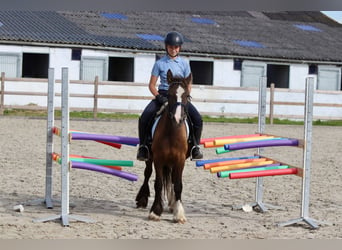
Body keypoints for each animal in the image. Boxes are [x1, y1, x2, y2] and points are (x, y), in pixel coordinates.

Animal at [135, 69, 192, 224]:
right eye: (169, 95)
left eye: (187, 95)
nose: (178, 119)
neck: (172, 131)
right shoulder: (159, 159)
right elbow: (158, 184)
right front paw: (155, 211)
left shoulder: (180, 160)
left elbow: (178, 184)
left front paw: (179, 214)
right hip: (149, 158)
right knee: (147, 173)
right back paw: (142, 199)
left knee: (172, 179)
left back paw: (172, 205)